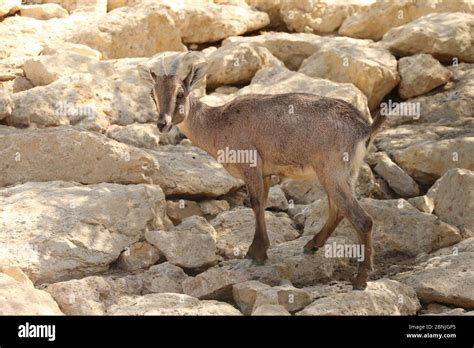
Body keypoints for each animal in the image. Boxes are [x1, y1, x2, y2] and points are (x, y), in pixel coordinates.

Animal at [140, 52, 386, 290]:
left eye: (180, 93)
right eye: (153, 94)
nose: (162, 123)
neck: (217, 124)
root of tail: (364, 128)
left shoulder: (251, 167)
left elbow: (256, 203)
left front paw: (256, 253)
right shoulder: (265, 173)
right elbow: (264, 203)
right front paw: (260, 250)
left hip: (333, 173)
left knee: (362, 219)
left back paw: (360, 279)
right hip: (343, 175)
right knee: (338, 211)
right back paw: (312, 245)